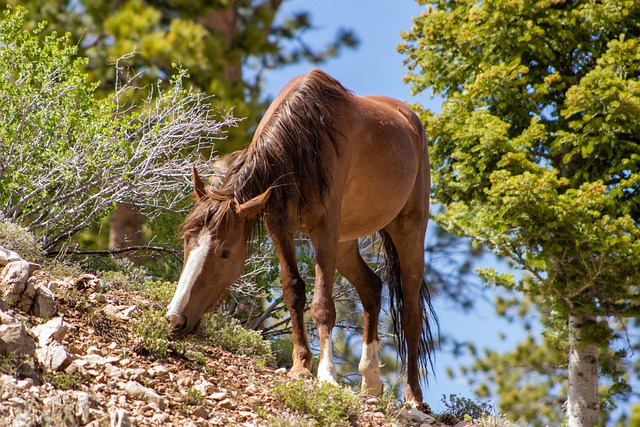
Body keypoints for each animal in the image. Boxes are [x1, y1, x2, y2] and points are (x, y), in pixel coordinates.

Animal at [165, 69, 436, 405]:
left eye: (225, 253)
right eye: (186, 242)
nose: (176, 319)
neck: (303, 142)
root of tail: (410, 120)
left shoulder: (325, 231)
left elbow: (322, 305)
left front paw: (327, 375)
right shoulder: (280, 226)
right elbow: (293, 292)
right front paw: (301, 366)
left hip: (408, 229)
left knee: (411, 313)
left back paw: (412, 396)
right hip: (346, 241)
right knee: (372, 288)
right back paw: (371, 380)